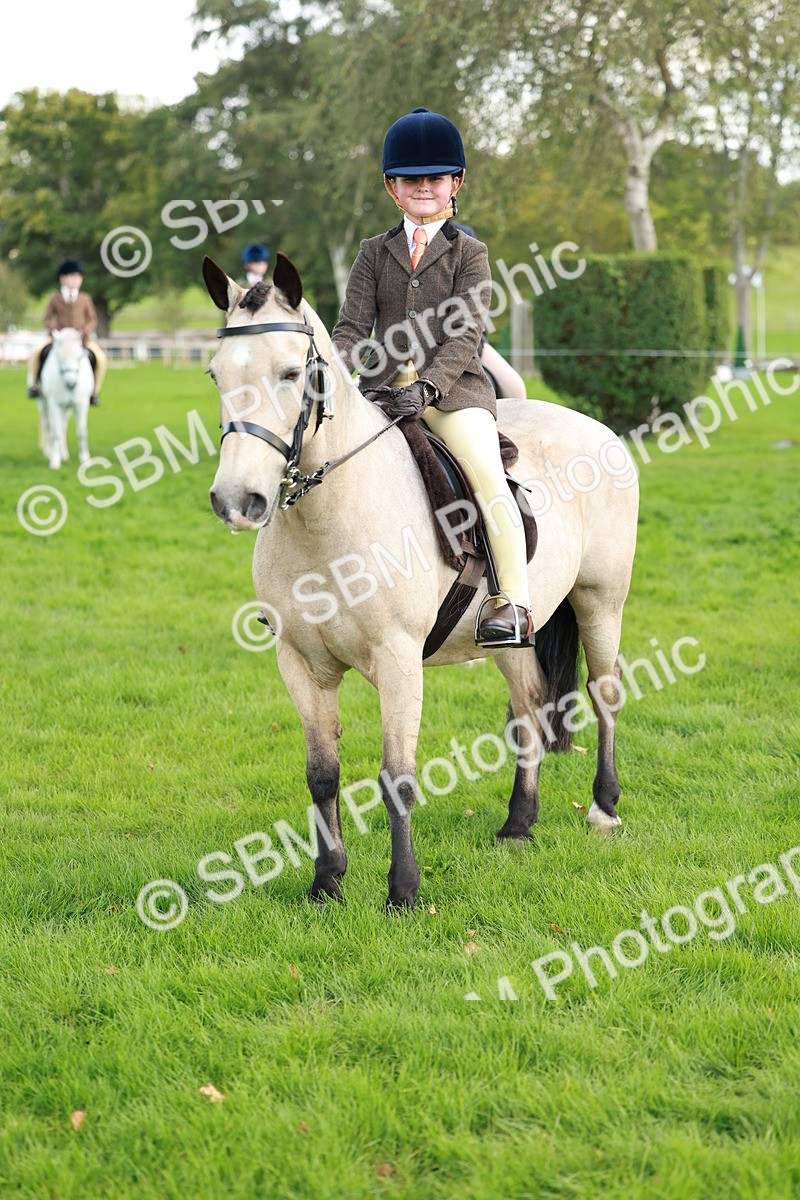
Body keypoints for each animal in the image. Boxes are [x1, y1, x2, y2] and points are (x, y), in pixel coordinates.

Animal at [38, 328, 94, 470]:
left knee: (63, 427)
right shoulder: (54, 404)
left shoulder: (81, 404)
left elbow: (81, 432)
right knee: (48, 426)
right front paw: (54, 462)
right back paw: (49, 452)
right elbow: (56, 432)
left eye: (79, 357)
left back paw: (64, 454)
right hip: (43, 403)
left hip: (67, 409)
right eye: (59, 358)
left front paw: (86, 460)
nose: (71, 383)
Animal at [203, 252, 639, 909]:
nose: (237, 500)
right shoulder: (300, 663)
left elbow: (397, 776)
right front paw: (326, 882)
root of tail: (598, 428)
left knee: (604, 691)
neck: (327, 519)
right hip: (514, 630)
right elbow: (321, 772)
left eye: (290, 373)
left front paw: (403, 892)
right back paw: (518, 825)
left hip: (600, 600)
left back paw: (604, 810)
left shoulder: (399, 658)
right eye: (215, 375)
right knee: (528, 706)